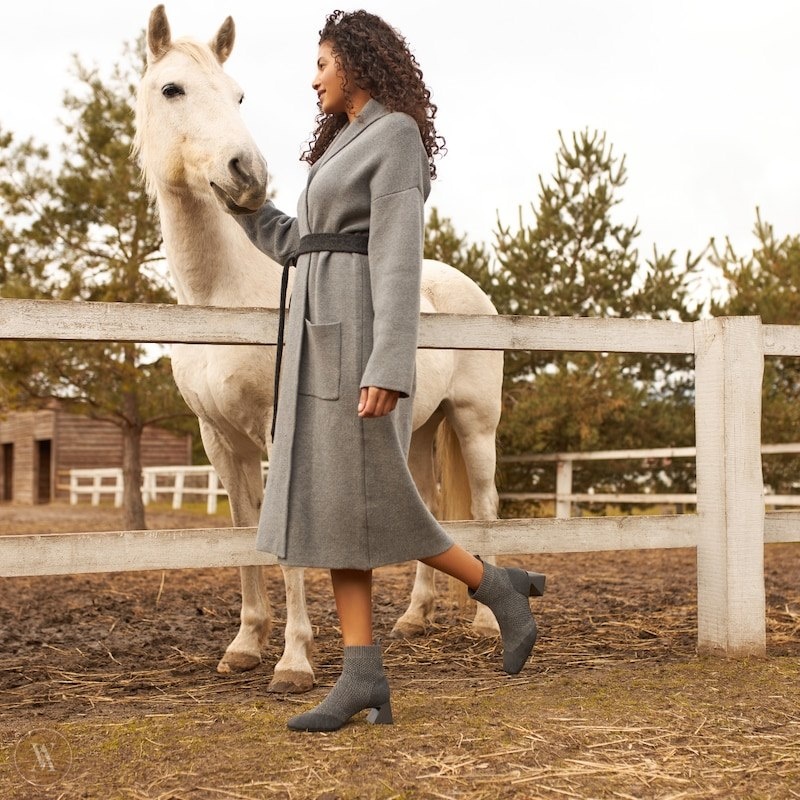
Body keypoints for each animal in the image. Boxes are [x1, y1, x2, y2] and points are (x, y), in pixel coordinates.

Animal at [134, 6, 504, 692]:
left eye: (239, 95)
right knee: (427, 507)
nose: (247, 174)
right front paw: (246, 644)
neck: (222, 297)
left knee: (489, 506)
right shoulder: (218, 439)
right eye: (172, 89)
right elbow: (242, 533)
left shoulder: (278, 427)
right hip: (416, 430)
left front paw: (294, 660)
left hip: (474, 425)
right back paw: (414, 619)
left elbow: (286, 545)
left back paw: (489, 623)